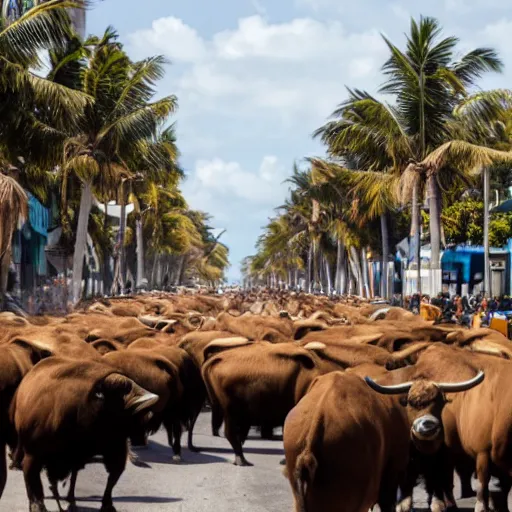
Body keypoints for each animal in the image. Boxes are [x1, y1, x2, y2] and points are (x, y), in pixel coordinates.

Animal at [14, 356, 158, 512]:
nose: (149, 415)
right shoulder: (34, 454)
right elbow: (34, 483)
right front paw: (39, 506)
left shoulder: (111, 448)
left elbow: (107, 478)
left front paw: (104, 506)